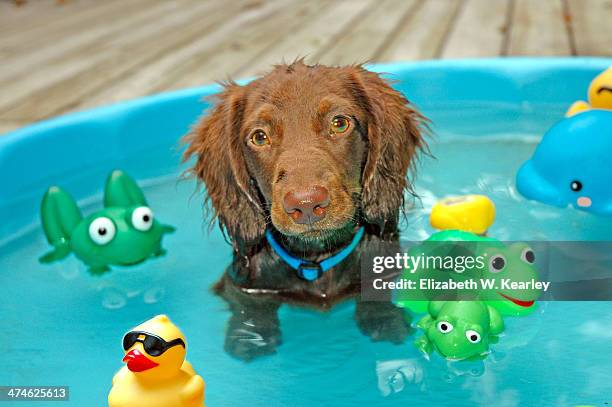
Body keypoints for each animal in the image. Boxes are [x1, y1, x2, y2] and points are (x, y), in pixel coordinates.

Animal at [184, 59, 428, 360]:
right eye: (259, 137)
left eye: (339, 123)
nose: (307, 204)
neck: (315, 259)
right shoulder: (242, 283)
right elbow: (250, 306)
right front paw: (251, 336)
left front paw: (384, 320)